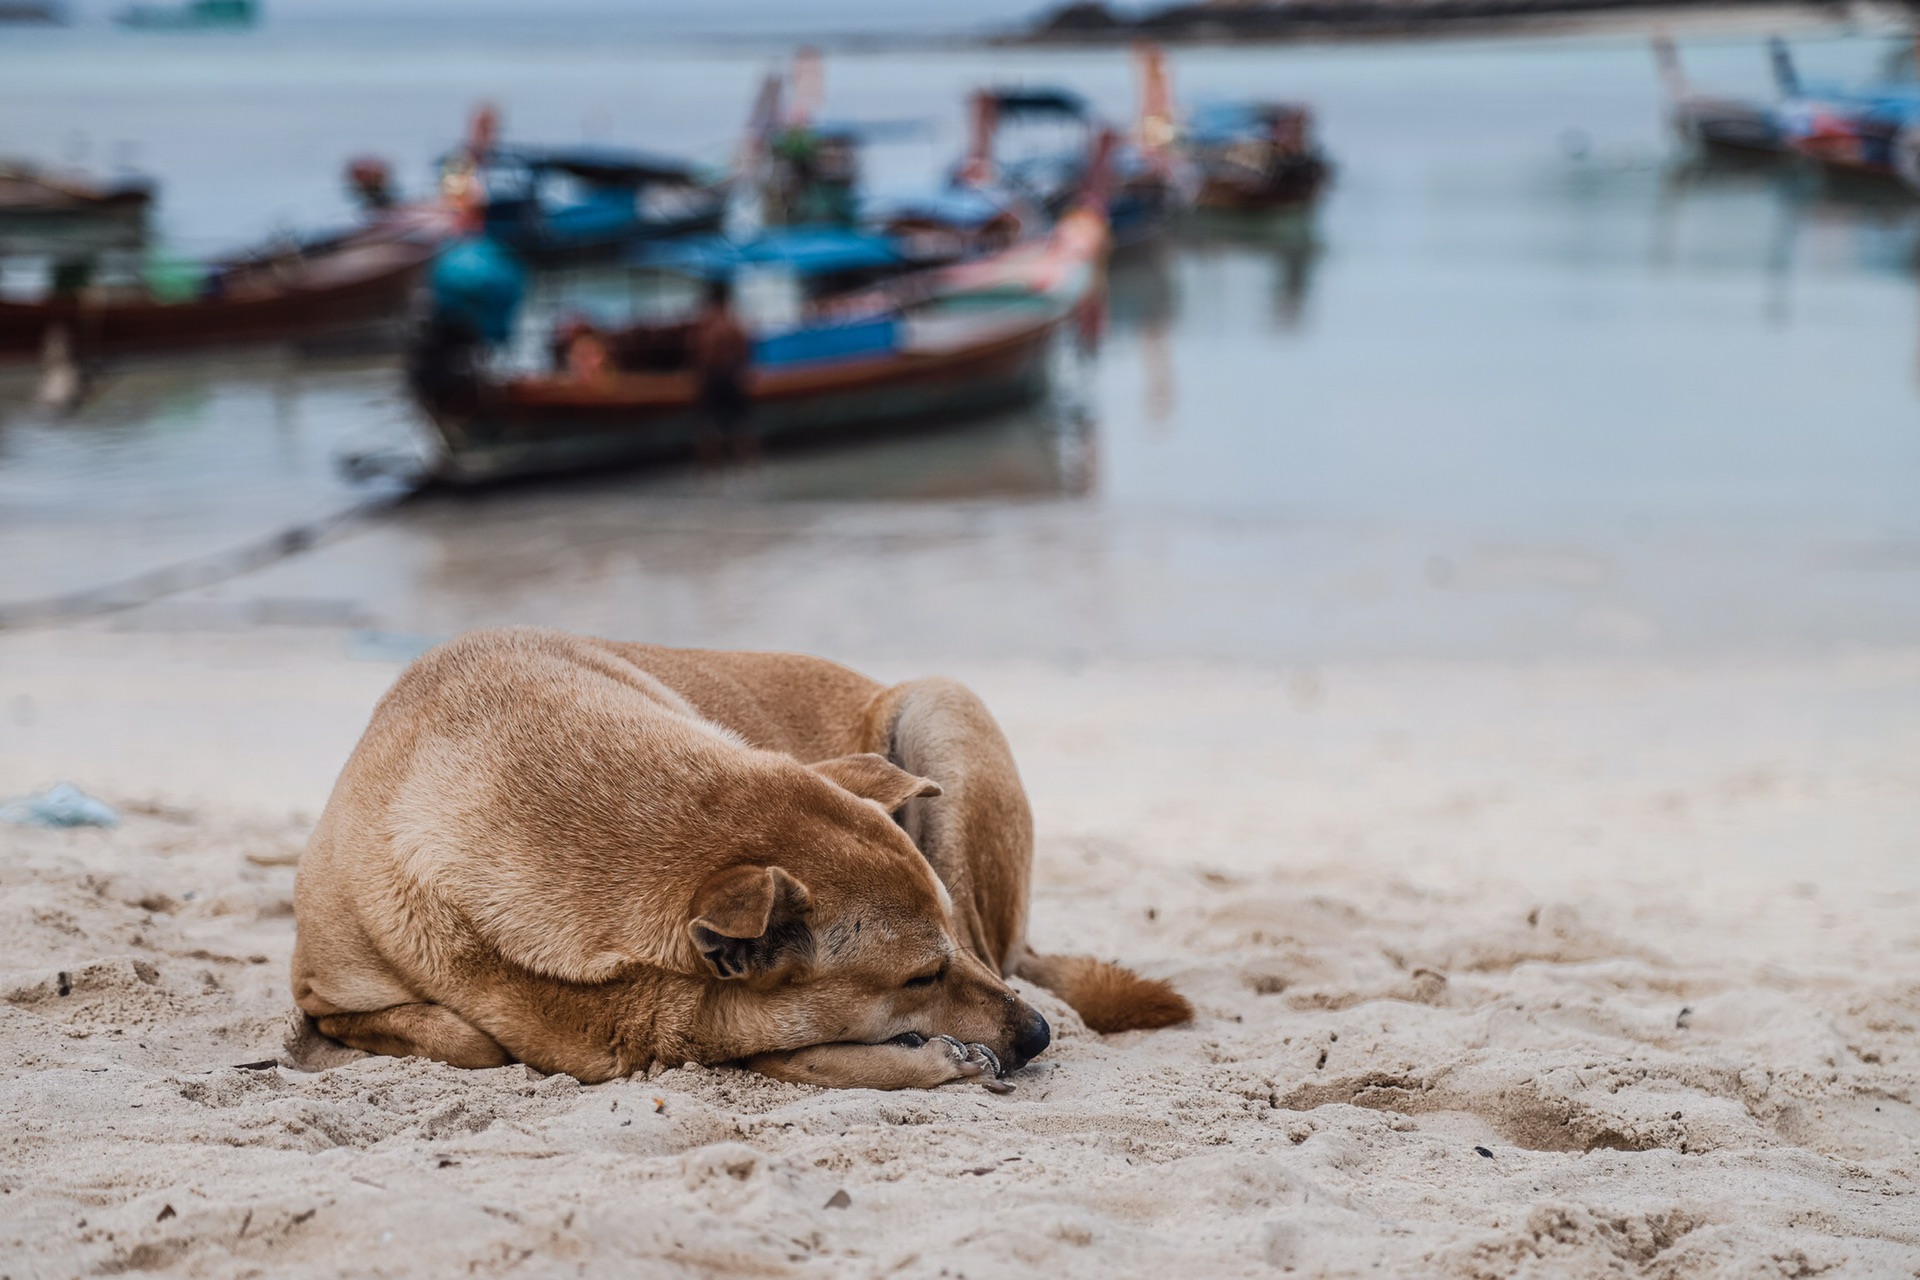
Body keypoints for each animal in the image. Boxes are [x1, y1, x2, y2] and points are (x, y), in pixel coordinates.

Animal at [288, 625, 1182, 1090]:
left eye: (946, 950)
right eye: (921, 975)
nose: (1036, 1034)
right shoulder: (321, 993)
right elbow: (466, 1039)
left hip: (941, 706)